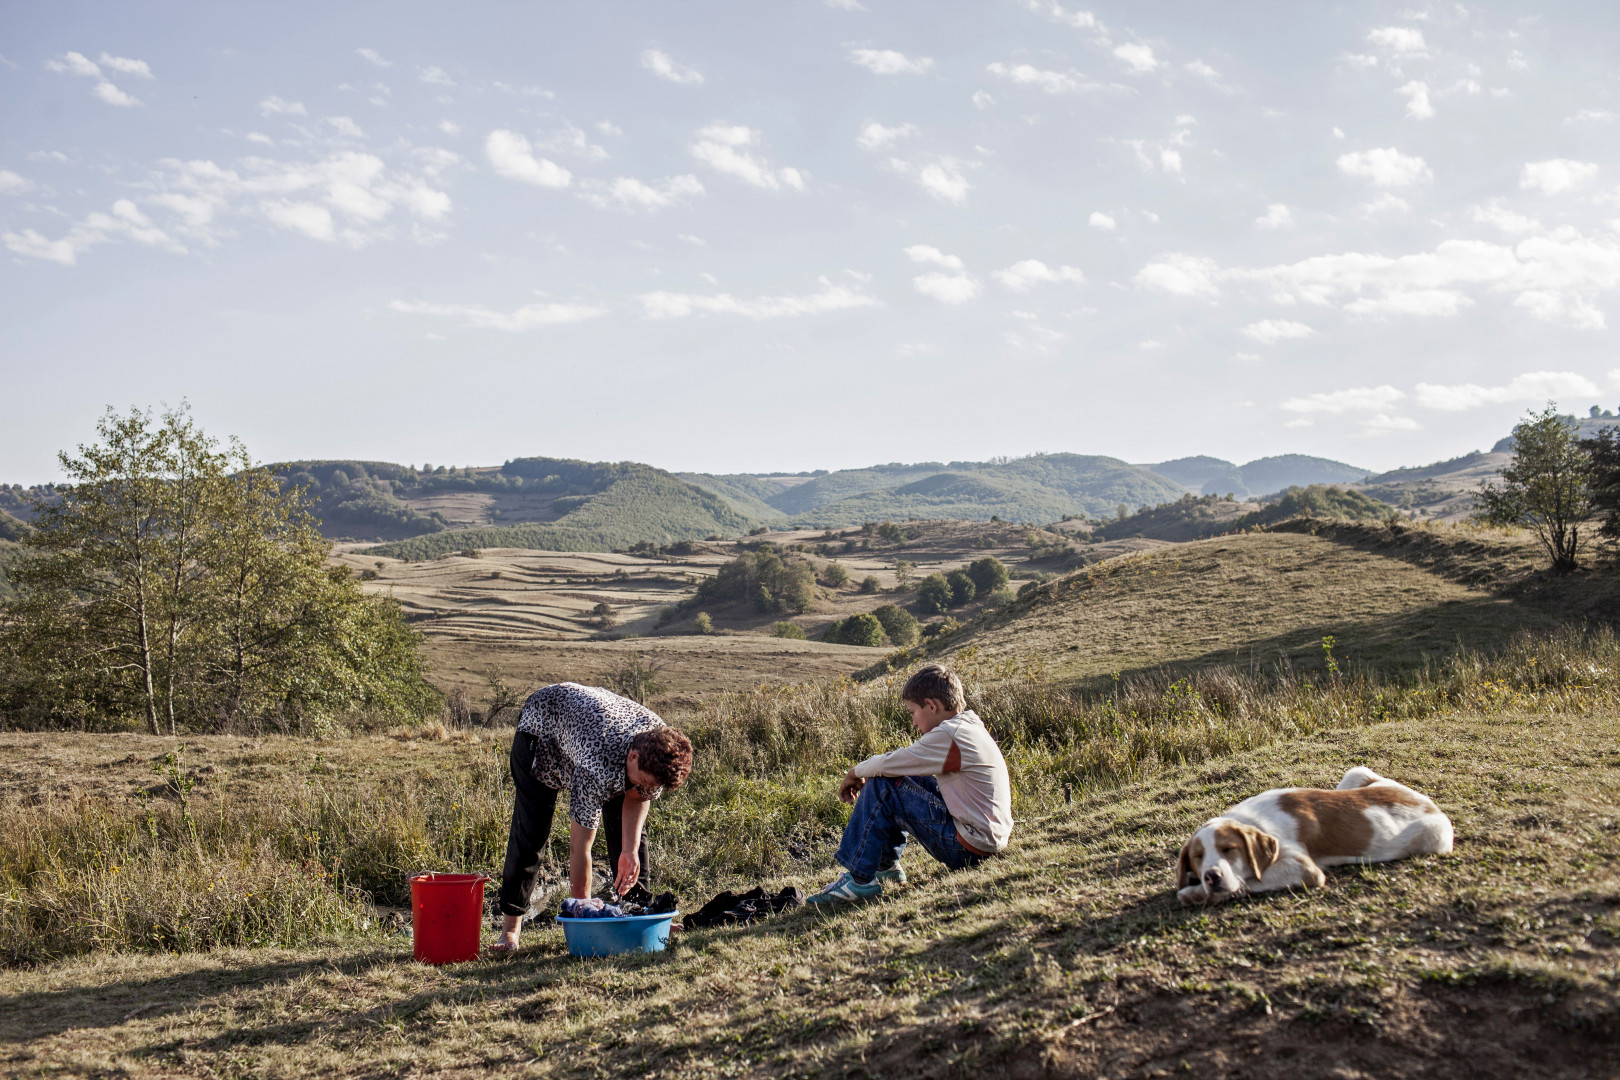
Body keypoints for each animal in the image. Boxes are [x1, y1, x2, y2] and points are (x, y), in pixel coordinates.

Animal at [1172, 764, 1451, 906]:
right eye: (1198, 856)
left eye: (1229, 849)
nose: (1211, 877)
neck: (1249, 820)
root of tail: (1427, 801)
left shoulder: (1304, 869)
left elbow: (1250, 880)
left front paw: (1198, 893)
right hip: (1357, 772)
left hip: (1435, 836)